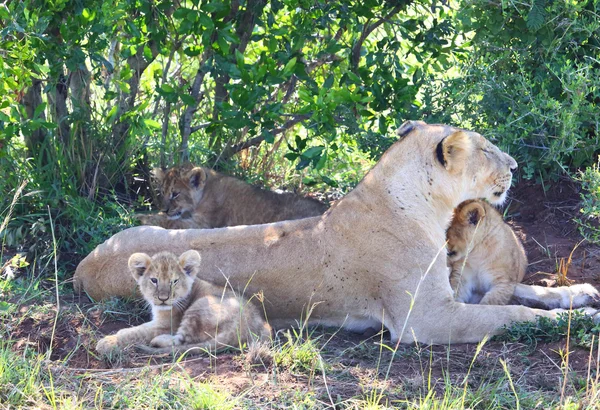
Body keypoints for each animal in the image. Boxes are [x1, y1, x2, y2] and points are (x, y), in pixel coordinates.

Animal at [75, 121, 600, 342]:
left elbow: (525, 292)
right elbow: (509, 314)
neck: (422, 208)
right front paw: (578, 321)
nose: (514, 166)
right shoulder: (428, 319)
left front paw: (580, 295)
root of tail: (82, 269)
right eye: (488, 150)